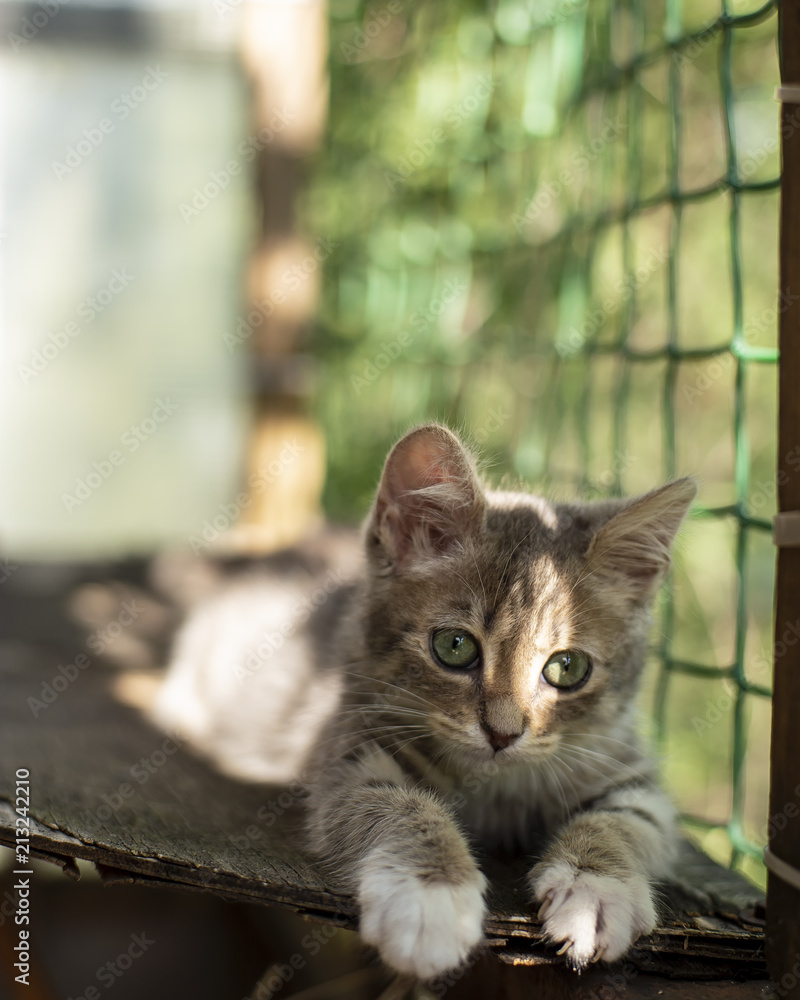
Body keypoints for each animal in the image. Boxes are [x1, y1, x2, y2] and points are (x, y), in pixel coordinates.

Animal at [155, 420, 692, 976]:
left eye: (567, 668)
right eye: (454, 647)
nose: (503, 733)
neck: (492, 791)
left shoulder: (624, 768)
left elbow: (629, 820)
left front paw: (596, 889)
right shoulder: (354, 745)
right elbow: (396, 803)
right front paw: (432, 895)